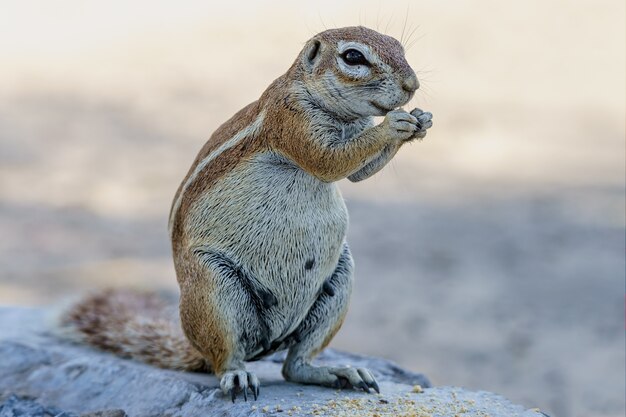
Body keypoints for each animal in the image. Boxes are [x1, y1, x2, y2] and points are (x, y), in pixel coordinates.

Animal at [64, 25, 434, 400]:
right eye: (353, 57)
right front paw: (395, 124)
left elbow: (360, 172)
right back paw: (239, 376)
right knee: (226, 358)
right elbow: (330, 160)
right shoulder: (291, 119)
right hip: (215, 290)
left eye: (399, 46)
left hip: (339, 283)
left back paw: (338, 372)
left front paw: (421, 121)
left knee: (294, 365)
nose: (412, 85)